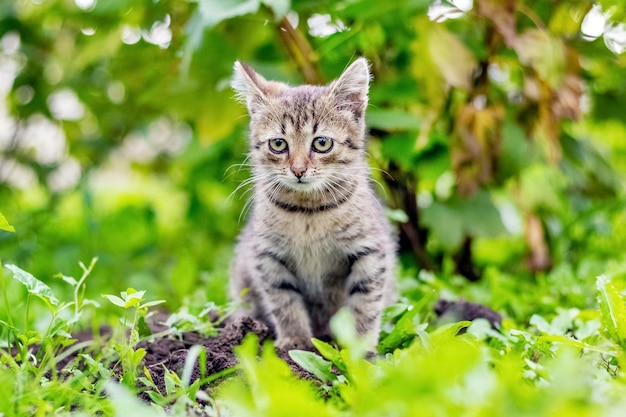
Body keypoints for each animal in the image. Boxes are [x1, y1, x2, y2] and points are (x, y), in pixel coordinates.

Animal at [229, 57, 394, 352]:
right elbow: (283, 300)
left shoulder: (370, 251)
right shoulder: (267, 255)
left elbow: (366, 302)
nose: (298, 170)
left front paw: (359, 348)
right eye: (278, 144)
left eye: (322, 143)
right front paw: (295, 340)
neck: (309, 212)